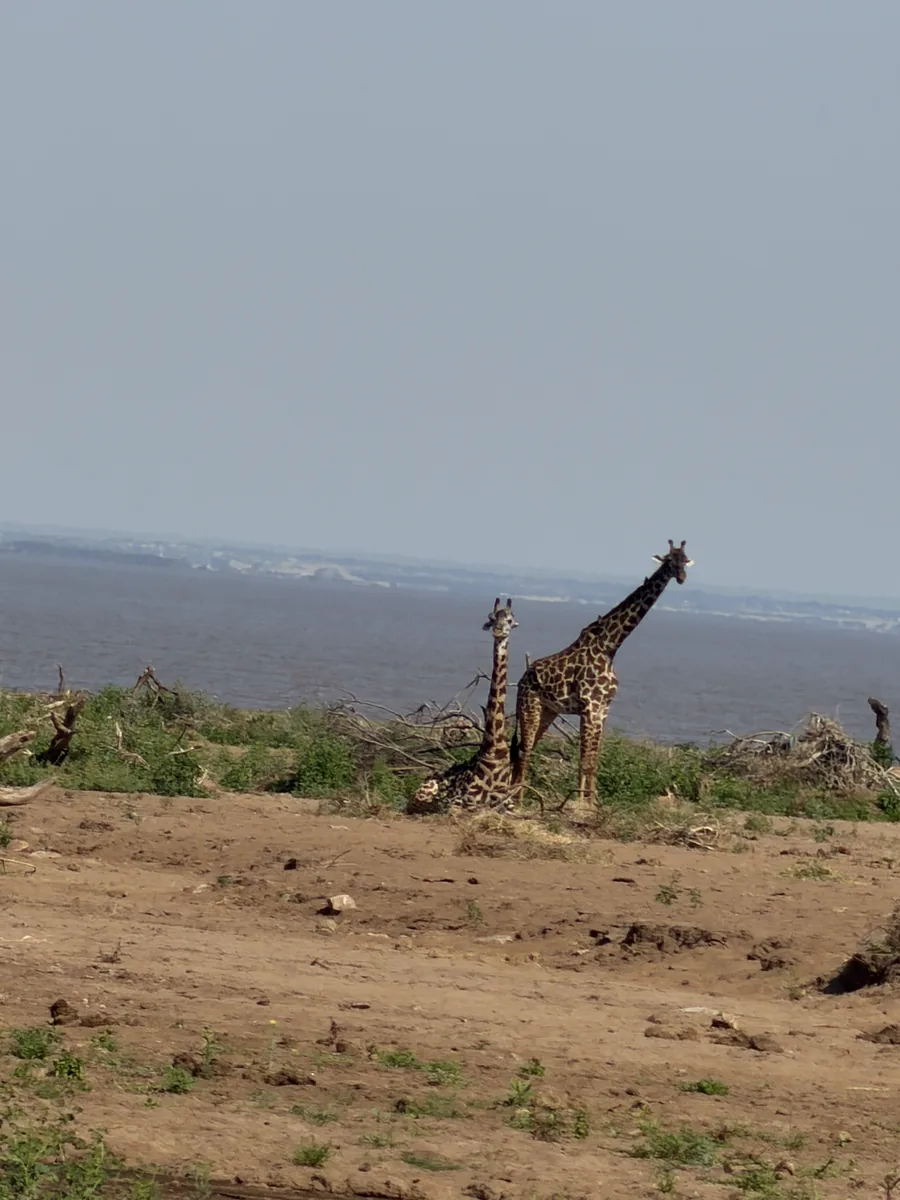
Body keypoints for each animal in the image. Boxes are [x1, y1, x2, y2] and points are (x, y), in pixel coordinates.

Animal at [407, 597, 519, 815]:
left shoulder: (511, 804)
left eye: (510, 620)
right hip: (423, 794)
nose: (498, 632)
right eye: (491, 618)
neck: (494, 750)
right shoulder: (458, 802)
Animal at [510, 540, 693, 810]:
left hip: (547, 711)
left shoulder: (603, 709)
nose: (681, 577)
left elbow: (594, 759)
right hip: (529, 706)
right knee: (524, 749)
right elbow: (585, 759)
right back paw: (518, 799)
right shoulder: (590, 707)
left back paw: (511, 794)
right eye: (670, 560)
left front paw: (592, 800)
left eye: (686, 560)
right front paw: (579, 801)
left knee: (526, 748)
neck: (610, 646)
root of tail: (523, 678)